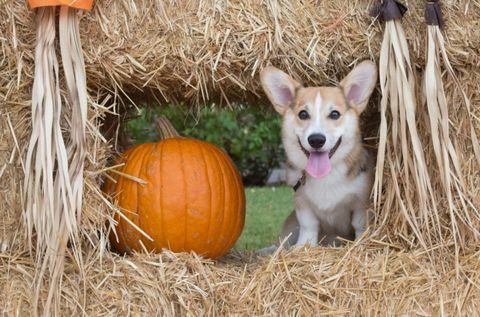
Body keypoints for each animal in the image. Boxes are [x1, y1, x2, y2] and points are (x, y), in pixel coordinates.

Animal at [260, 59, 376, 252]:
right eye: (303, 114)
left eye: (335, 114)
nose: (316, 140)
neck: (326, 176)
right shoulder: (302, 204)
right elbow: (308, 226)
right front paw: (302, 247)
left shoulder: (361, 203)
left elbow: (359, 224)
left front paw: (360, 244)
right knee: (282, 241)